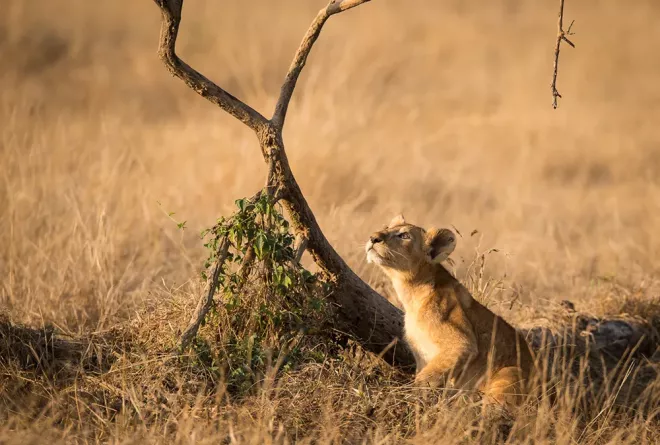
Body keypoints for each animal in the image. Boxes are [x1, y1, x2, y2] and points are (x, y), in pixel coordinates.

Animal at [366, 214, 535, 407]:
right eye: (386, 228)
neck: (411, 294)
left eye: (404, 236)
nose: (373, 238)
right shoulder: (421, 356)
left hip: (510, 372)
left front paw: (411, 398)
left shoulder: (462, 343)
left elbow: (426, 378)